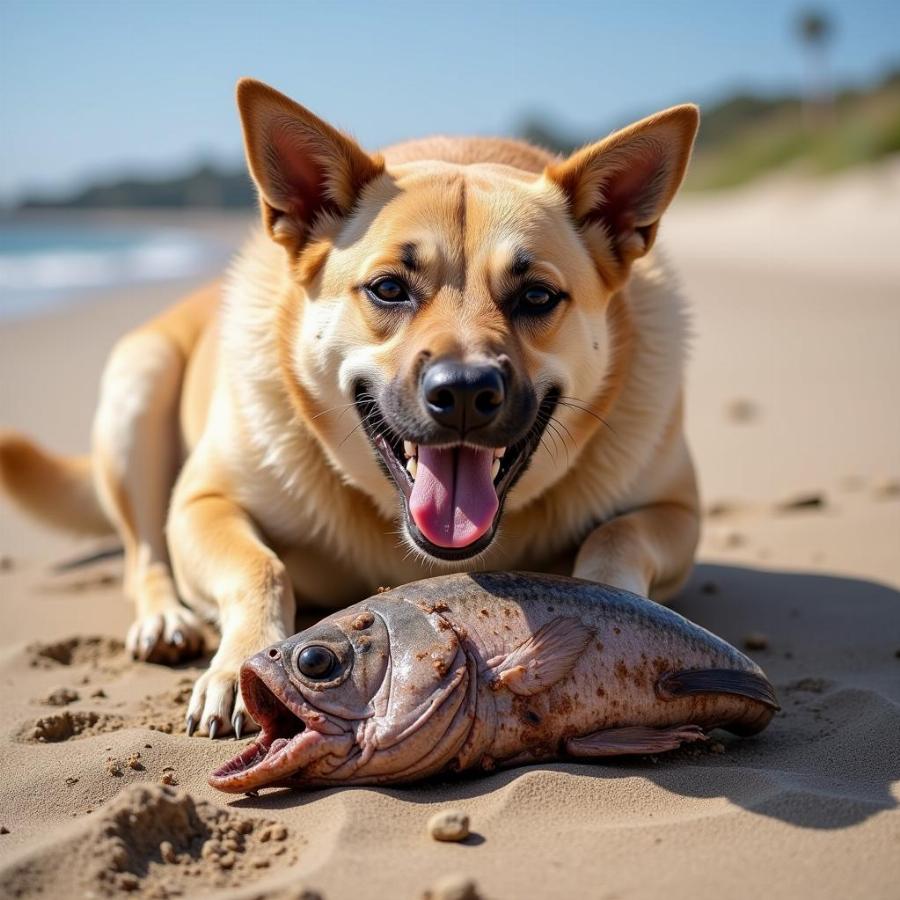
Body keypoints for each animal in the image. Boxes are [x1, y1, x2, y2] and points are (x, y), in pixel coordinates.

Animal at [0, 79, 704, 740]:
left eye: (536, 296)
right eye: (389, 289)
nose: (465, 392)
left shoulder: (677, 512)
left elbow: (615, 537)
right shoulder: (202, 501)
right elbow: (261, 568)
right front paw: (237, 666)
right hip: (136, 385)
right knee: (142, 554)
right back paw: (165, 618)